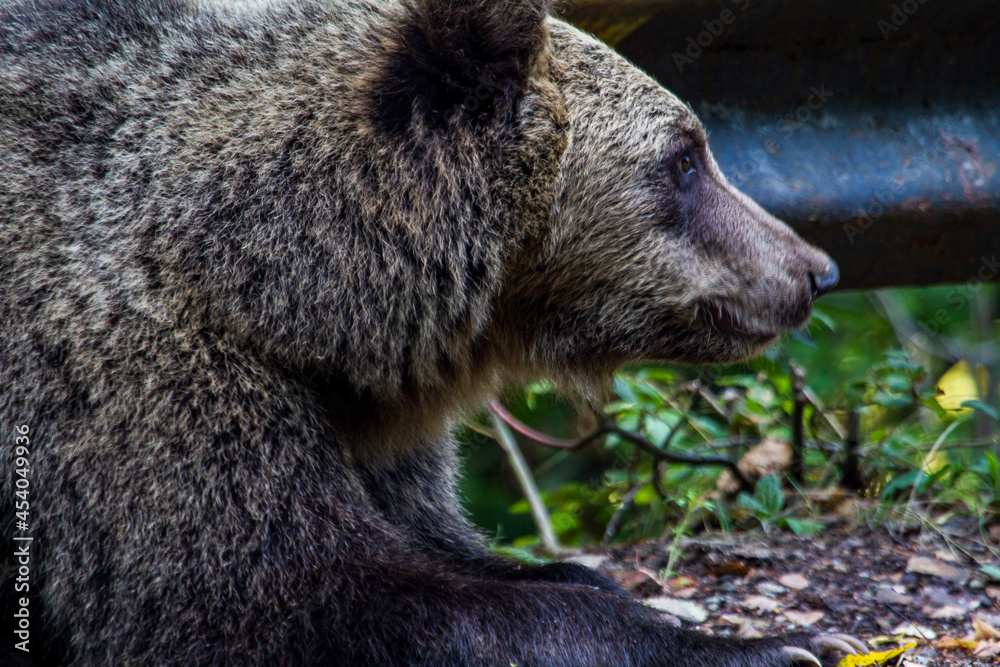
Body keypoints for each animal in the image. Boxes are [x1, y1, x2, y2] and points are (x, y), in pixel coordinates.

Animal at [0, 0, 857, 665]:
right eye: (684, 158)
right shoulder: (131, 379)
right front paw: (773, 643)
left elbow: (442, 541)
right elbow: (275, 599)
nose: (813, 271)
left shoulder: (373, 418)